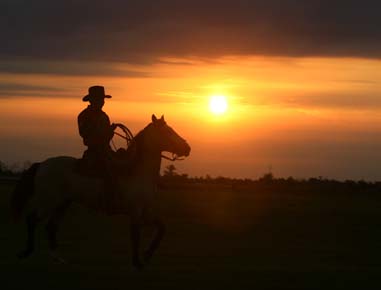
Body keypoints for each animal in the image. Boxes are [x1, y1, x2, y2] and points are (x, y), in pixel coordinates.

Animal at [11, 114, 190, 268]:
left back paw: (58, 259)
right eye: (168, 131)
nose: (187, 148)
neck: (137, 170)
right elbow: (135, 235)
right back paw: (26, 252)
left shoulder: (146, 211)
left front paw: (147, 254)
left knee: (51, 226)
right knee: (32, 219)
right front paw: (138, 263)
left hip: (62, 203)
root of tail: (41, 165)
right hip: (47, 201)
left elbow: (161, 228)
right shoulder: (135, 211)